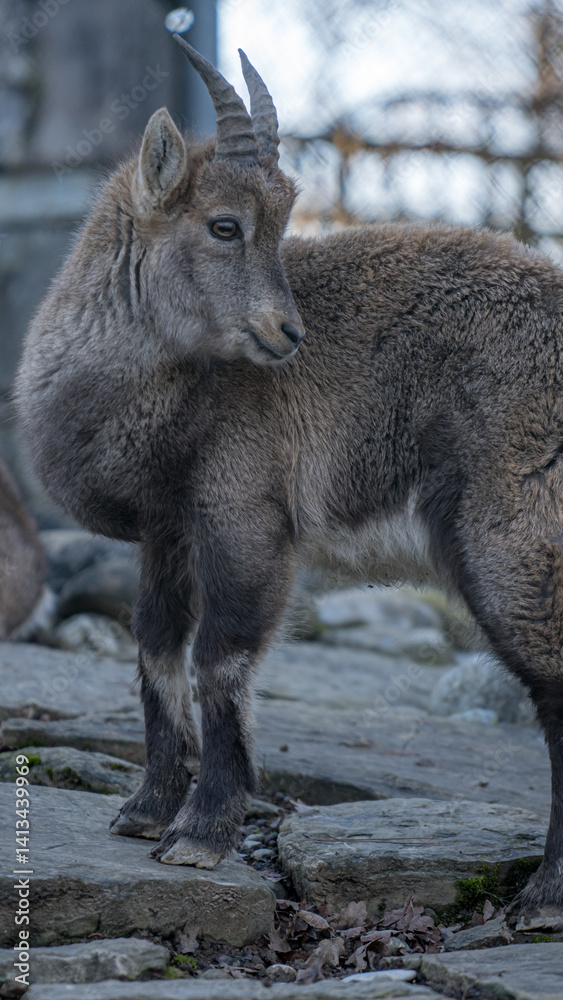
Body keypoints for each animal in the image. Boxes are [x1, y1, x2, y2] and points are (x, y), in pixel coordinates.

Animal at [15, 36, 563, 919]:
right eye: (225, 223)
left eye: (277, 221)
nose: (287, 333)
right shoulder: (168, 531)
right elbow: (156, 648)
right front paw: (144, 812)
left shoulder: (246, 516)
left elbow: (221, 659)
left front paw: (200, 835)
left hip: (513, 542)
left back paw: (544, 895)